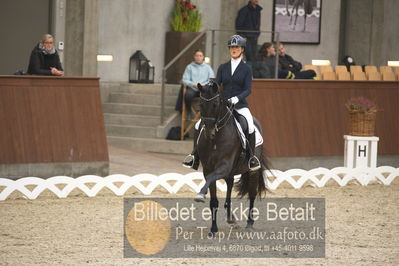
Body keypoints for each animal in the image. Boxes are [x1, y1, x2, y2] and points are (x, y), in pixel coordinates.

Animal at [195, 81, 270, 237]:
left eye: (215, 104)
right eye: (200, 104)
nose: (209, 134)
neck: (216, 139)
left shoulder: (223, 166)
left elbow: (211, 179)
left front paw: (200, 195)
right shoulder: (208, 169)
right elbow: (213, 201)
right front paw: (213, 229)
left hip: (252, 171)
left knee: (252, 194)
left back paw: (249, 223)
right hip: (230, 172)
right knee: (229, 186)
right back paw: (231, 218)